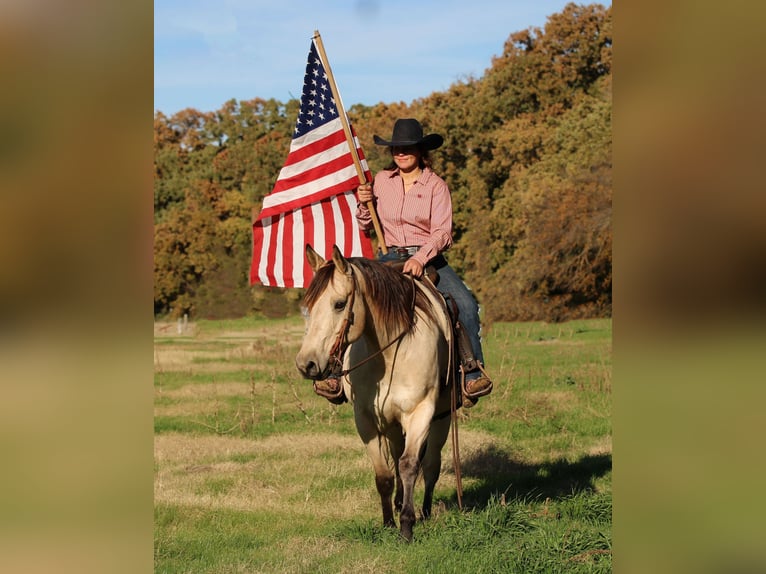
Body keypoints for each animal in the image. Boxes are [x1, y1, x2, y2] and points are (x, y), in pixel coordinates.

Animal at [294, 245, 452, 544]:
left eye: (339, 304)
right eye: (307, 307)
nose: (306, 364)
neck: (389, 355)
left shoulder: (420, 413)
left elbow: (410, 465)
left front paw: (407, 527)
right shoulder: (366, 419)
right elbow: (384, 474)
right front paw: (389, 522)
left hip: (442, 419)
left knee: (430, 465)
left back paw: (424, 512)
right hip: (392, 426)